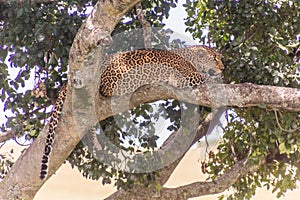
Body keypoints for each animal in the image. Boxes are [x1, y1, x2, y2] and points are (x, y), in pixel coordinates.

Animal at [39, 45, 223, 180]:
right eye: (215, 58)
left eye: (220, 58)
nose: (223, 67)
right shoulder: (184, 77)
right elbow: (205, 77)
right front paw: (219, 79)